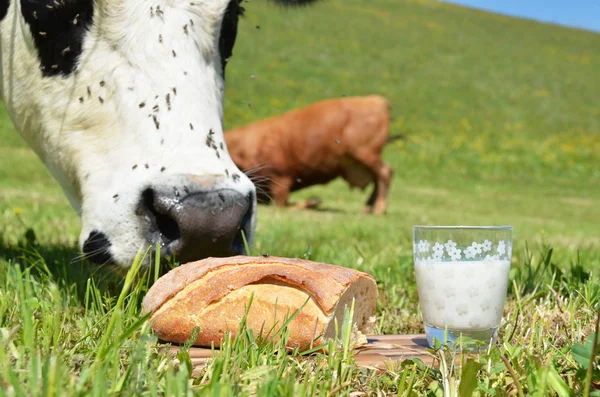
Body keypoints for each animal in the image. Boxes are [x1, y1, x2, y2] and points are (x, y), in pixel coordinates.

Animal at [225, 95, 404, 213]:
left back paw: (378, 209)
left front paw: (312, 202)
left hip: (365, 152)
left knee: (384, 173)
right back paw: (368, 207)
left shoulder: (281, 178)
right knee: (377, 178)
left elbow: (282, 204)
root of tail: (376, 100)